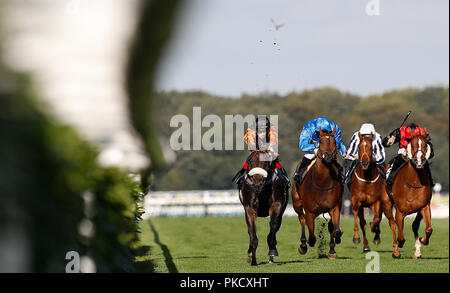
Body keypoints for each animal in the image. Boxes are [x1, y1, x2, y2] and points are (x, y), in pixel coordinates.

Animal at [292, 128, 344, 258]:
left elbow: (335, 230)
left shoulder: (335, 207)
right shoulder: (310, 211)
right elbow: (312, 237)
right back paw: (303, 246)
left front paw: (334, 247)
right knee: (302, 219)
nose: (329, 155)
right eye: (320, 141)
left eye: (334, 142)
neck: (322, 182)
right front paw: (304, 245)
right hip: (297, 204)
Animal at [390, 130, 432, 258]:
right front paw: (398, 246)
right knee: (393, 224)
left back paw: (417, 251)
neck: (414, 182)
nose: (419, 160)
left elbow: (428, 229)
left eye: (425, 144)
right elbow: (401, 236)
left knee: (414, 225)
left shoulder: (424, 206)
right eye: (412, 144)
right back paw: (396, 251)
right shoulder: (400, 211)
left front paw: (423, 240)